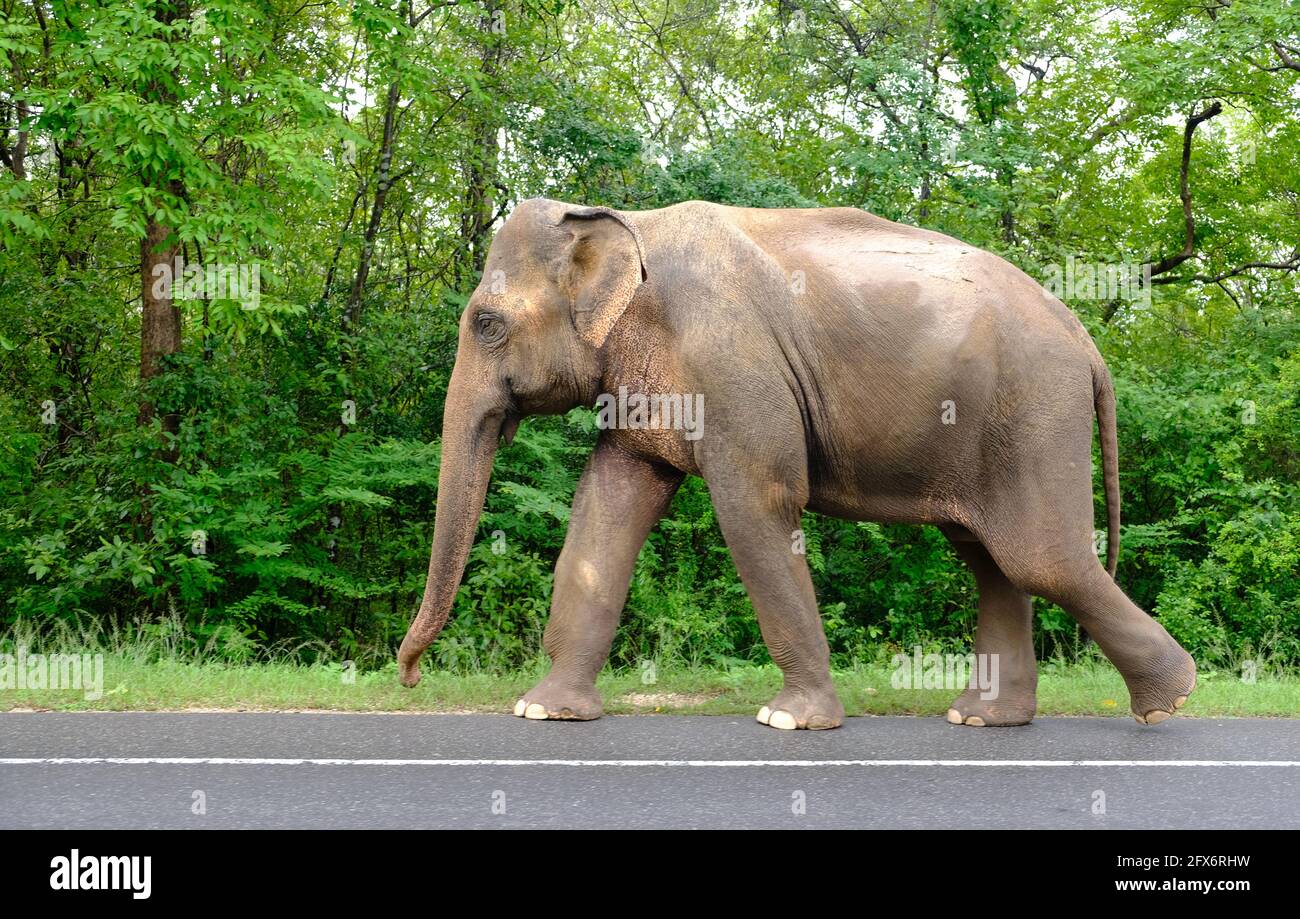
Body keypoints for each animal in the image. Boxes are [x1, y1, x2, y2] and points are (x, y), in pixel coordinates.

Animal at [395, 197, 1196, 727]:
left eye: (486, 324)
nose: (406, 677)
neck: (625, 217)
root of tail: (1085, 337)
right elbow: (607, 509)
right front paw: (544, 710)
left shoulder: (734, 365)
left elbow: (757, 504)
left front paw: (790, 720)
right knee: (990, 557)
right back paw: (980, 718)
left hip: (1033, 411)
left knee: (1041, 558)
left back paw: (1169, 702)